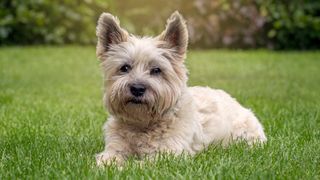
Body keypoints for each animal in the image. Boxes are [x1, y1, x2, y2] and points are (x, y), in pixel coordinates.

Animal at [95, 11, 268, 166]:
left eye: (156, 70)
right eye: (124, 68)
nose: (137, 88)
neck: (143, 123)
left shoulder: (168, 153)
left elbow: (141, 165)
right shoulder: (115, 147)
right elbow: (108, 158)